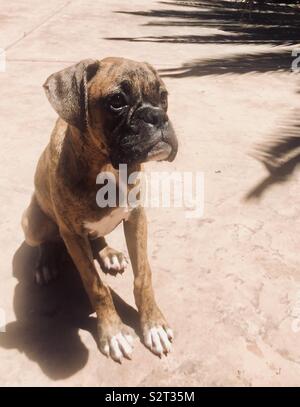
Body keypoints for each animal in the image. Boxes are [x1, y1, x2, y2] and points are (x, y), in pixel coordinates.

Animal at [22, 57, 178, 364]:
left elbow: (143, 276)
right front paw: (113, 332)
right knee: (46, 241)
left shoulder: (136, 218)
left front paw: (152, 324)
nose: (157, 116)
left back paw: (109, 254)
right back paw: (46, 262)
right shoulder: (72, 234)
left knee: (99, 237)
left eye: (163, 97)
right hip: (32, 224)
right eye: (116, 101)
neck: (107, 167)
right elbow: (96, 285)